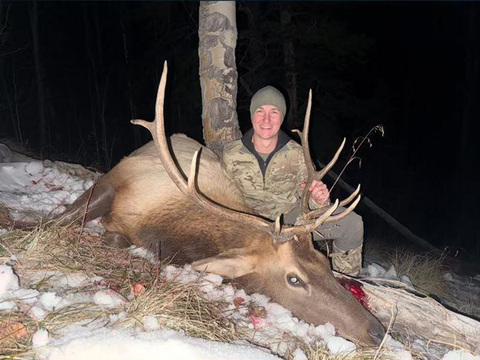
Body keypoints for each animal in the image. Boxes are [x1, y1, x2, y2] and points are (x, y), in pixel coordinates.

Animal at [57, 62, 386, 346]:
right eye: (294, 279)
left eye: (322, 260)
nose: (378, 331)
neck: (164, 227)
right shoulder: (119, 177)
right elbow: (65, 218)